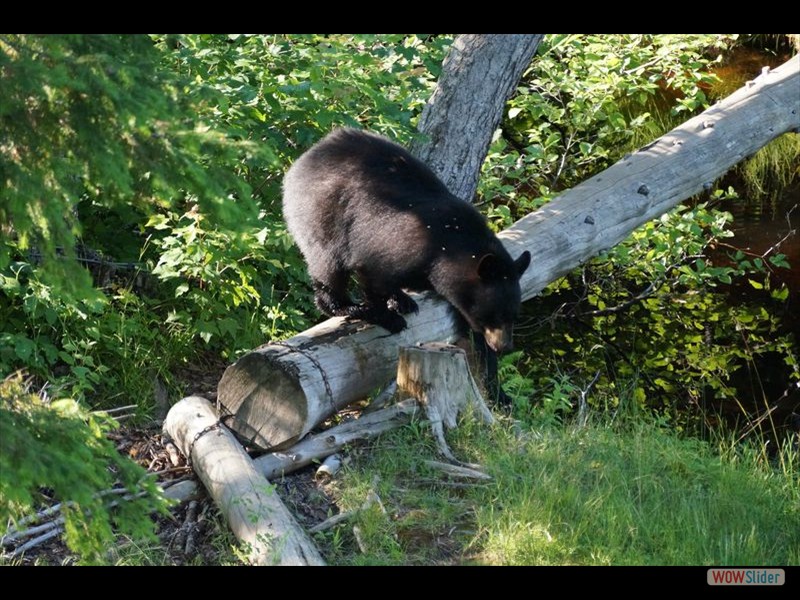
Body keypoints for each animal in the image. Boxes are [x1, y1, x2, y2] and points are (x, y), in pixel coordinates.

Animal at [282, 128, 531, 402]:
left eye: (513, 314)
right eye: (493, 314)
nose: (504, 346)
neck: (450, 246)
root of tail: (303, 160)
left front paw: (499, 391)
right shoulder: (405, 245)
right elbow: (373, 273)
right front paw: (387, 317)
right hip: (323, 217)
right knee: (328, 268)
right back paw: (349, 306)